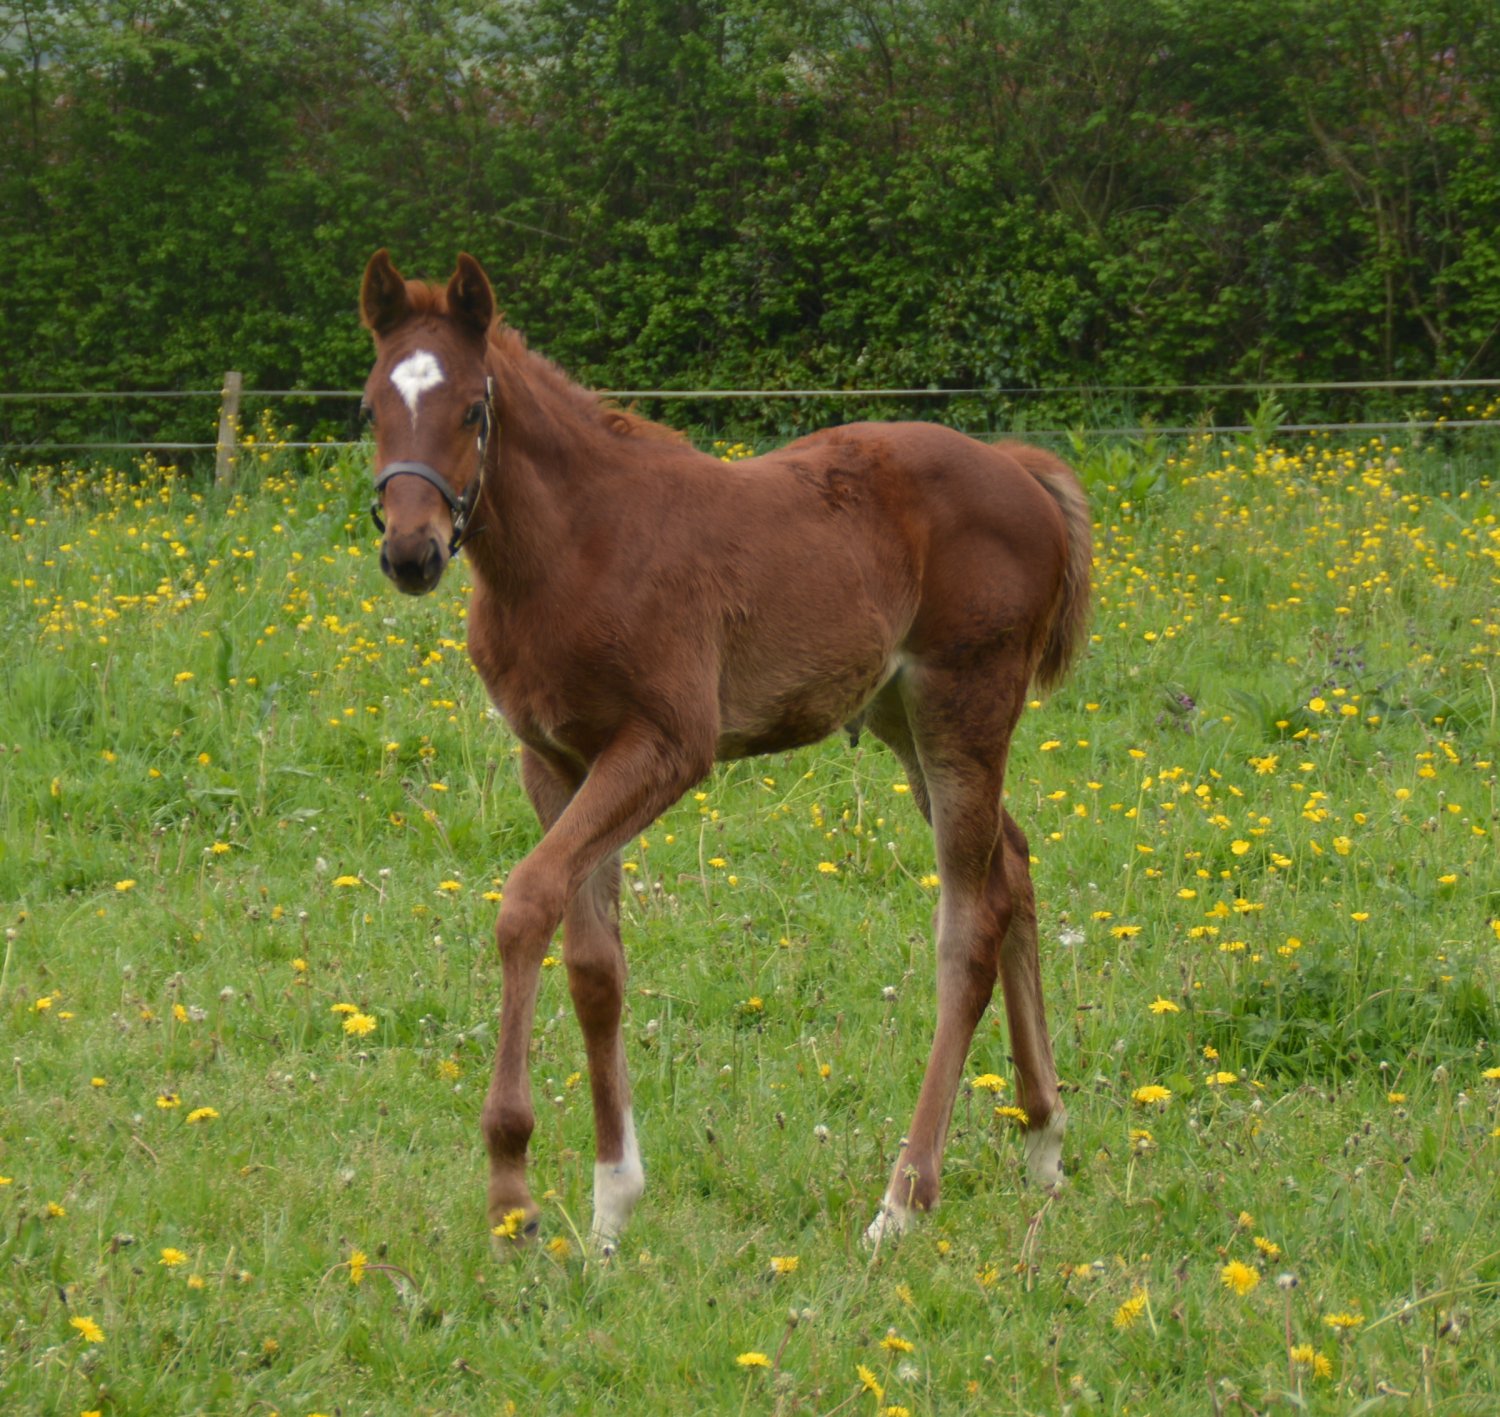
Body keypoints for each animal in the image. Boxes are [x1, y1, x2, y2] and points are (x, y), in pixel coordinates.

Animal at [358, 250, 1091, 1253]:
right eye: (369, 408)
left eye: (473, 407)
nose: (411, 552)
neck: (575, 547)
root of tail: (1019, 469)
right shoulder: (554, 760)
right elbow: (595, 963)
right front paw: (611, 1202)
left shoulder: (667, 746)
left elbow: (526, 903)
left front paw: (512, 1185)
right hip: (905, 720)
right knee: (1012, 866)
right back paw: (1044, 1142)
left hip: (962, 705)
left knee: (968, 928)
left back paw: (903, 1197)